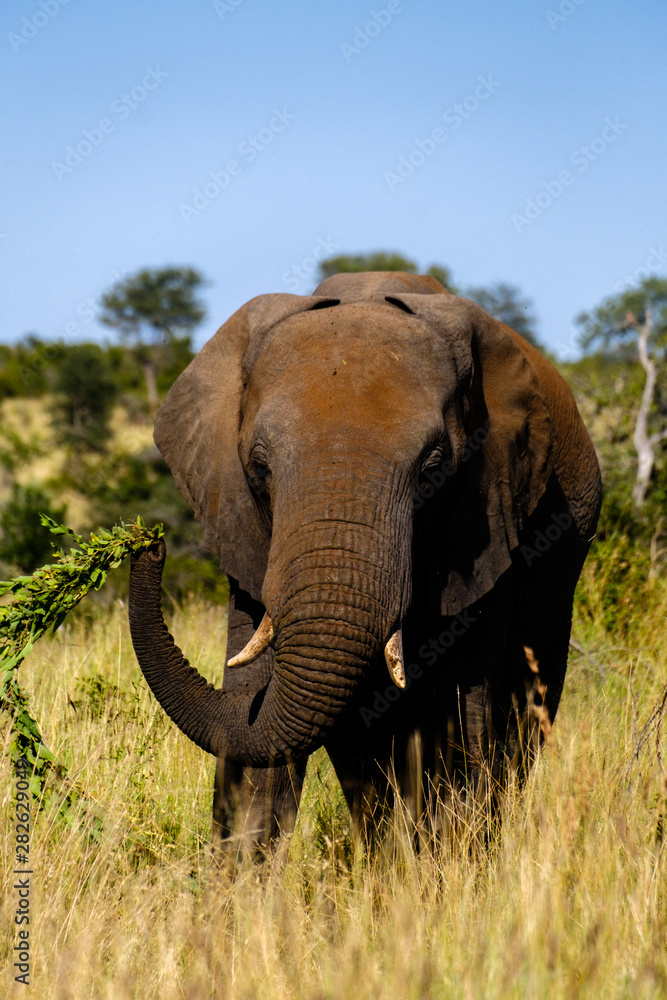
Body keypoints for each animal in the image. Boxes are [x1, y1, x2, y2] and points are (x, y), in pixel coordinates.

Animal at [128, 271, 602, 855]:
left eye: (433, 468)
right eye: (260, 468)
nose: (149, 543)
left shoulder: (488, 519)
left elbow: (456, 724)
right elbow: (254, 726)